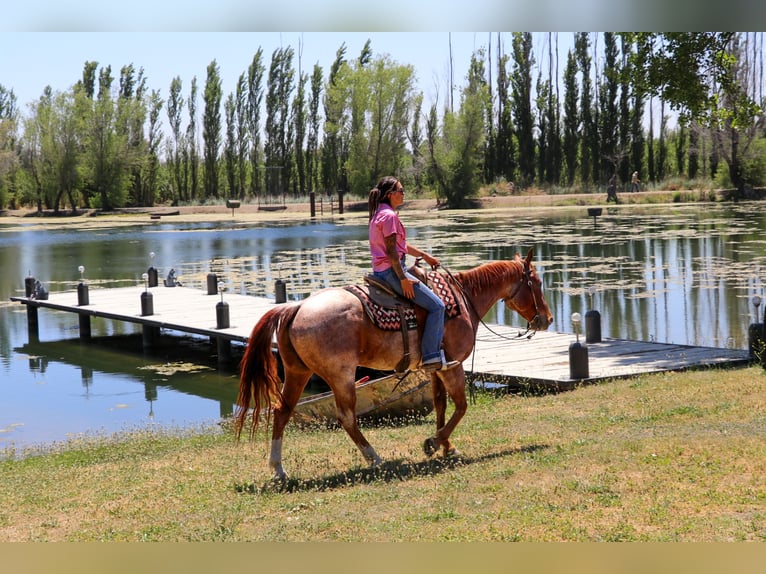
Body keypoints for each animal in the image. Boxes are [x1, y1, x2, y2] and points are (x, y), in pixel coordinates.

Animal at [234, 249, 552, 482]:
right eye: (537, 283)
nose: (547, 319)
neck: (464, 300)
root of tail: (296, 307)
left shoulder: (434, 367)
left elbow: (440, 405)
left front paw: (446, 446)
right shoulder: (453, 365)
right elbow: (461, 406)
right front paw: (434, 443)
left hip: (298, 372)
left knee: (282, 411)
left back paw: (278, 469)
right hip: (341, 375)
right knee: (346, 417)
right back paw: (374, 458)